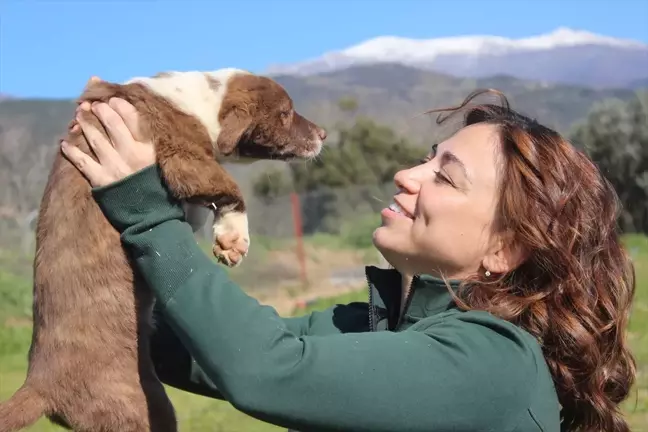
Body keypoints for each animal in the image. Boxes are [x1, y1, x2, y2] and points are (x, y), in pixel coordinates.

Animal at [0, 69, 324, 432]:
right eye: (285, 113)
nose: (324, 134)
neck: (201, 100)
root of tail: (39, 385)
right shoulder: (183, 156)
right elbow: (229, 188)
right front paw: (234, 237)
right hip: (145, 408)